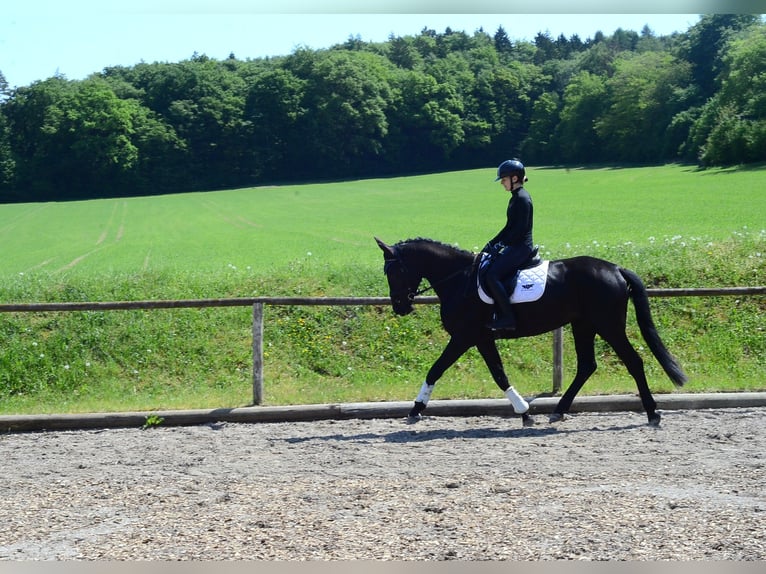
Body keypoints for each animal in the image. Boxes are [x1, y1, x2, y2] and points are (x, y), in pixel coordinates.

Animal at [375, 237, 687, 427]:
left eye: (394, 272)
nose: (399, 306)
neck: (459, 280)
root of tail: (616, 269)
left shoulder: (465, 336)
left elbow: (438, 369)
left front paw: (415, 409)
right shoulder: (481, 338)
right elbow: (498, 373)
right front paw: (525, 412)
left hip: (608, 325)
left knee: (633, 361)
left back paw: (652, 413)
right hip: (583, 325)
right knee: (587, 365)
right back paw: (559, 410)